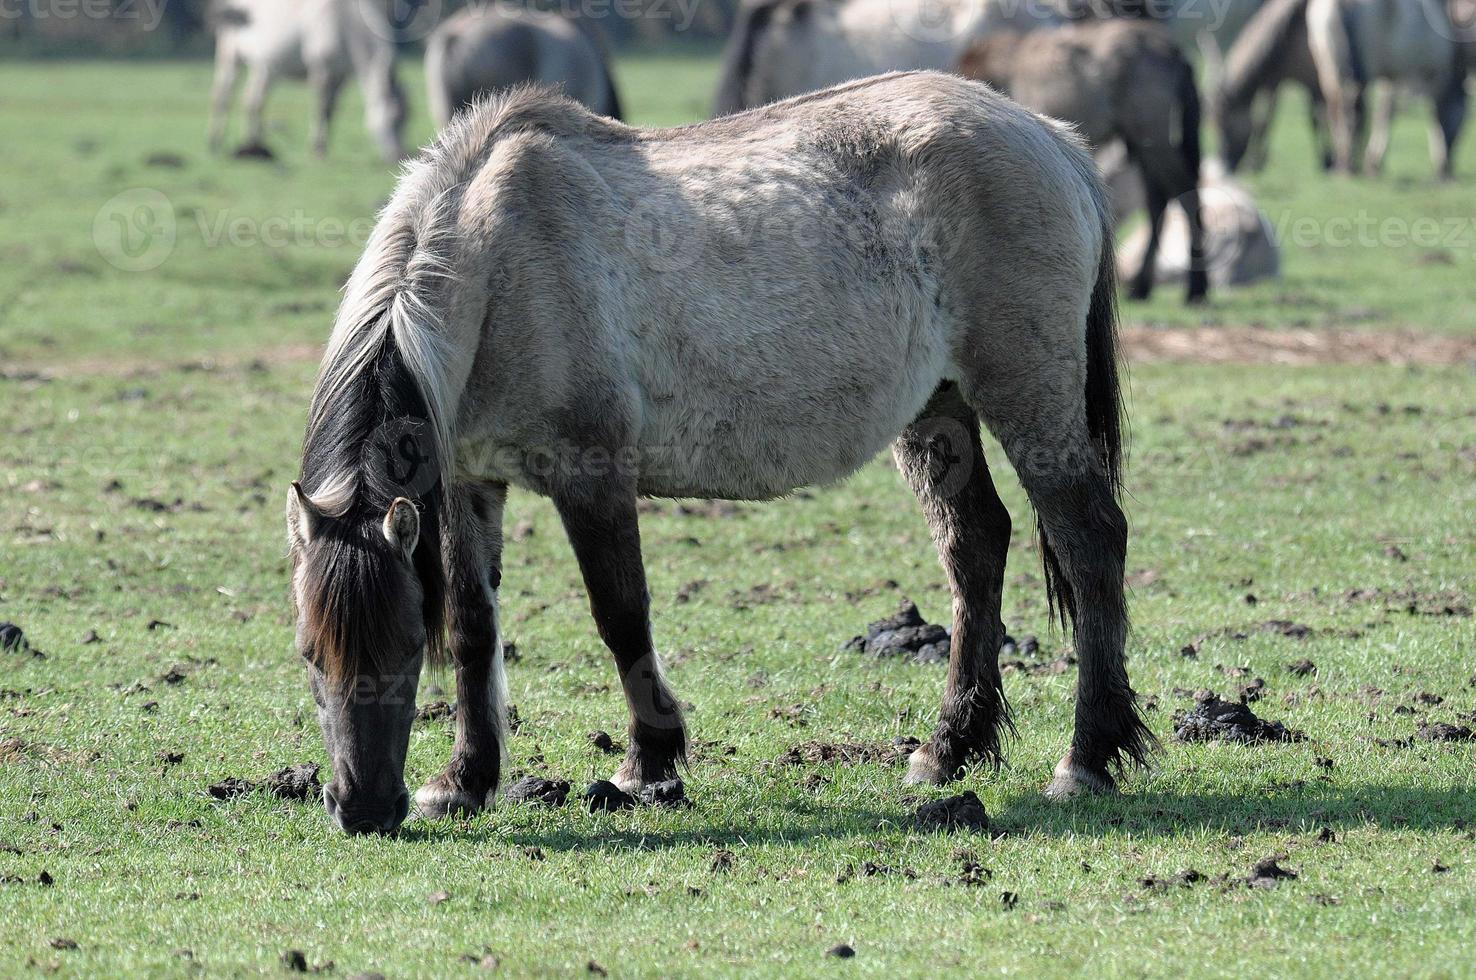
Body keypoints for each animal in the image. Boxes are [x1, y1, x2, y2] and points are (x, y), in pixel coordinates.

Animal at [206, 0, 404, 160]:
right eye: (394, 118)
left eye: (407, 118)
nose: (399, 154)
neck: (345, 21)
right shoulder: (321, 68)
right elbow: (321, 108)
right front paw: (317, 150)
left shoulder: (341, 75)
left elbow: (331, 110)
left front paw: (323, 147)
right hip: (230, 54)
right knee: (223, 95)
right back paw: (215, 142)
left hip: (264, 67)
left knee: (252, 100)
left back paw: (255, 145)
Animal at [284, 70, 1151, 832]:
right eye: (309, 654)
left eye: (404, 647)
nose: (361, 810)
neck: (493, 264)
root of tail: (1052, 139)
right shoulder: (468, 481)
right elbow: (472, 627)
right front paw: (465, 780)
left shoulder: (592, 474)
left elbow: (620, 614)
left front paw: (649, 763)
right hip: (938, 411)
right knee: (974, 546)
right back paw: (948, 750)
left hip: (1027, 397)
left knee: (1090, 541)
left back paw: (1086, 760)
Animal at [956, 19, 1210, 302]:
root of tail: (1174, 52)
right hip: (1140, 142)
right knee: (1158, 199)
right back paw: (1144, 286)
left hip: (1153, 135)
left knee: (1185, 192)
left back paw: (1195, 288)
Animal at [1304, 0, 1464, 176]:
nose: (1449, 167)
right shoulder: (1429, 76)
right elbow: (1427, 117)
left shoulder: (1390, 80)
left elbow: (1383, 114)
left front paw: (1374, 162)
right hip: (1361, 73)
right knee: (1353, 112)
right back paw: (1348, 164)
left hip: (1329, 68)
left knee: (1336, 110)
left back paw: (1342, 162)